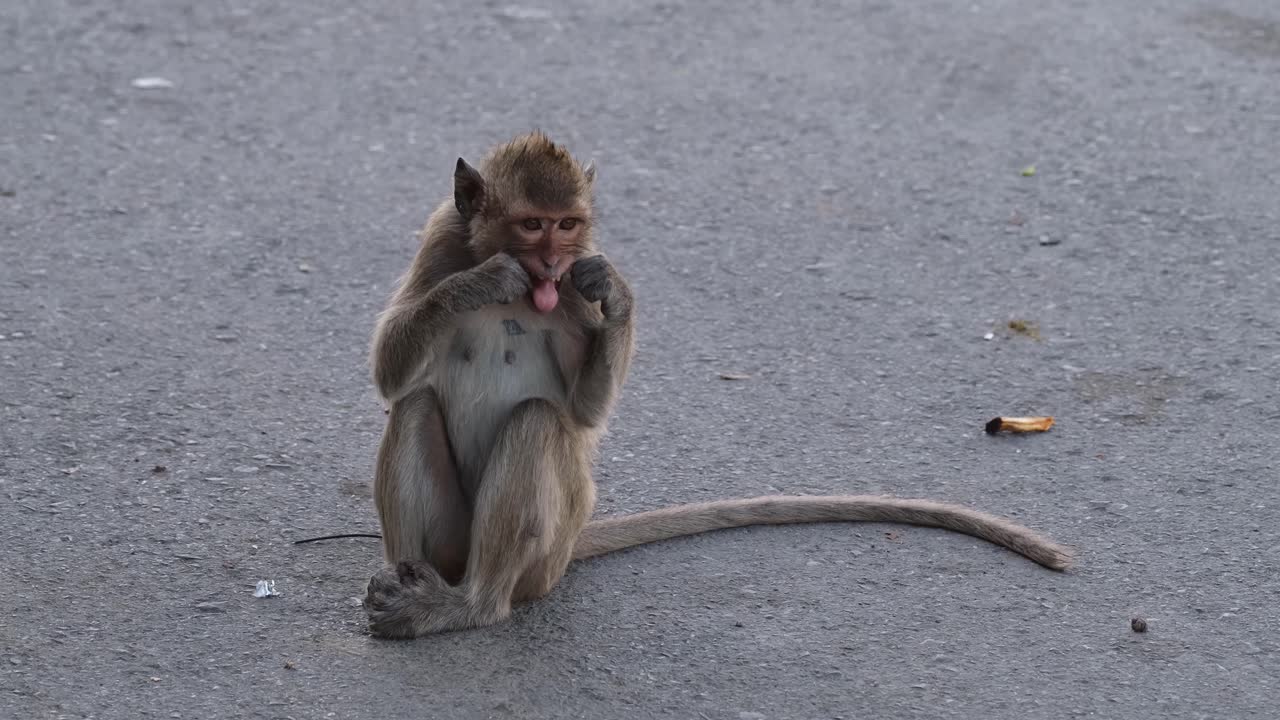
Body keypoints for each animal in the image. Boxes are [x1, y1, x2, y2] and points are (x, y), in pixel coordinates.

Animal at [362, 131, 1072, 639]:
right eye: (533, 224)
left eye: (569, 225)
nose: (554, 261)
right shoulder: (443, 241)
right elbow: (391, 374)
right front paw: (480, 284)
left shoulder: (573, 294)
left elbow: (584, 414)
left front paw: (618, 297)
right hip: (461, 542)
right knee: (415, 405)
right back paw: (413, 585)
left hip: (544, 560)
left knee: (538, 422)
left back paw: (470, 606)